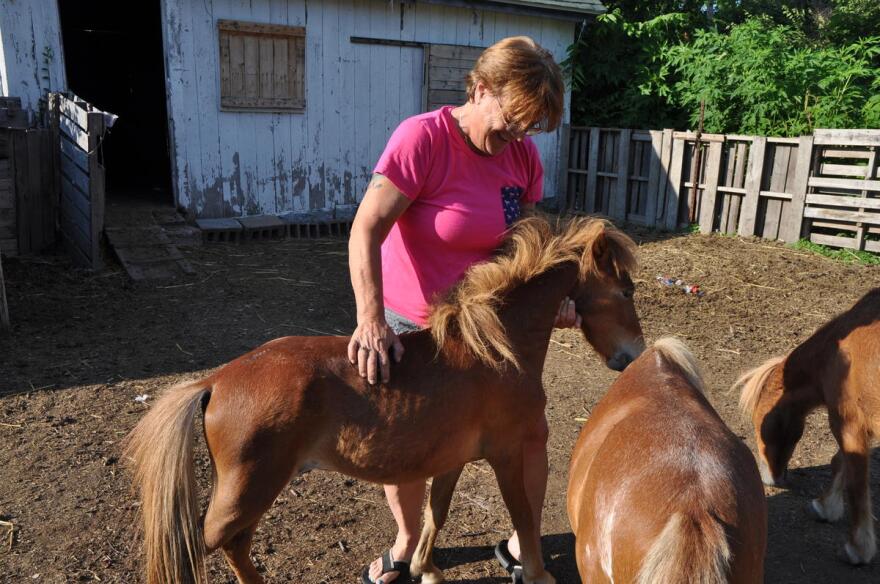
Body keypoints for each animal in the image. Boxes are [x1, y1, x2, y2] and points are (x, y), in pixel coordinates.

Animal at [125, 217, 648, 584]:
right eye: (625, 290)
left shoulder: (453, 460)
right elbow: (521, 514)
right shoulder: (504, 454)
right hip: (248, 491)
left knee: (236, 544)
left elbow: (436, 513)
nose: (634, 356)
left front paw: (425, 569)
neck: (494, 349)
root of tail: (216, 380)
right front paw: (536, 573)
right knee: (204, 544)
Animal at [740, 288, 876, 564]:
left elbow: (855, 483)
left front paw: (858, 548)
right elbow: (840, 463)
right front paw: (825, 506)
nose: (773, 478)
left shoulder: (848, 424)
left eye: (761, 423)